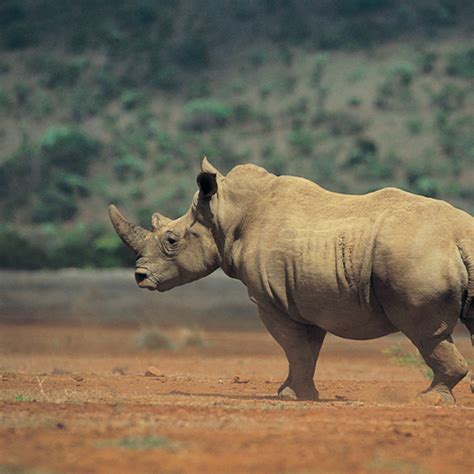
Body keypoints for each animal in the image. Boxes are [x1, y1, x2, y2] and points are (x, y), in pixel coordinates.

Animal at [109, 159, 472, 404]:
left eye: (171, 240)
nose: (140, 277)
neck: (226, 216)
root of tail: (459, 234)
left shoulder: (272, 300)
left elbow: (294, 347)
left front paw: (289, 397)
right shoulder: (310, 298)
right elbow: (308, 349)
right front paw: (298, 392)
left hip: (415, 256)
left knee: (425, 334)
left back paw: (429, 399)